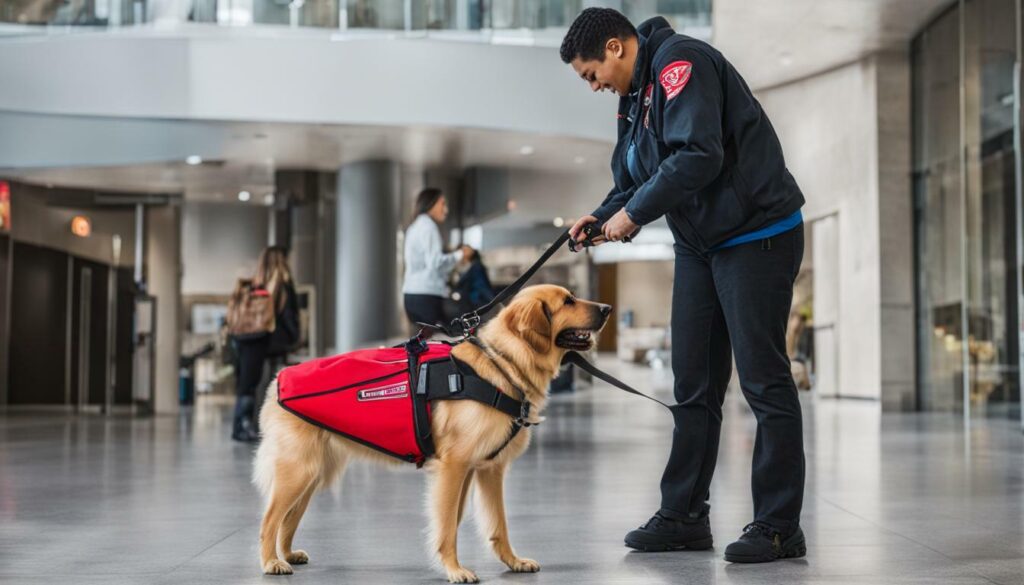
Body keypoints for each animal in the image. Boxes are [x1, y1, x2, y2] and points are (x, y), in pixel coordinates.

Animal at [252, 284, 610, 581]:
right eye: (568, 301)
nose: (607, 308)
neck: (501, 364)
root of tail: (278, 379)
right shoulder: (454, 468)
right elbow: (448, 525)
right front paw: (454, 569)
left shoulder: (486, 469)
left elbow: (494, 524)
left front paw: (513, 561)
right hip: (299, 470)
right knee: (269, 520)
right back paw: (271, 562)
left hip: (312, 474)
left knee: (288, 519)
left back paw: (287, 554)